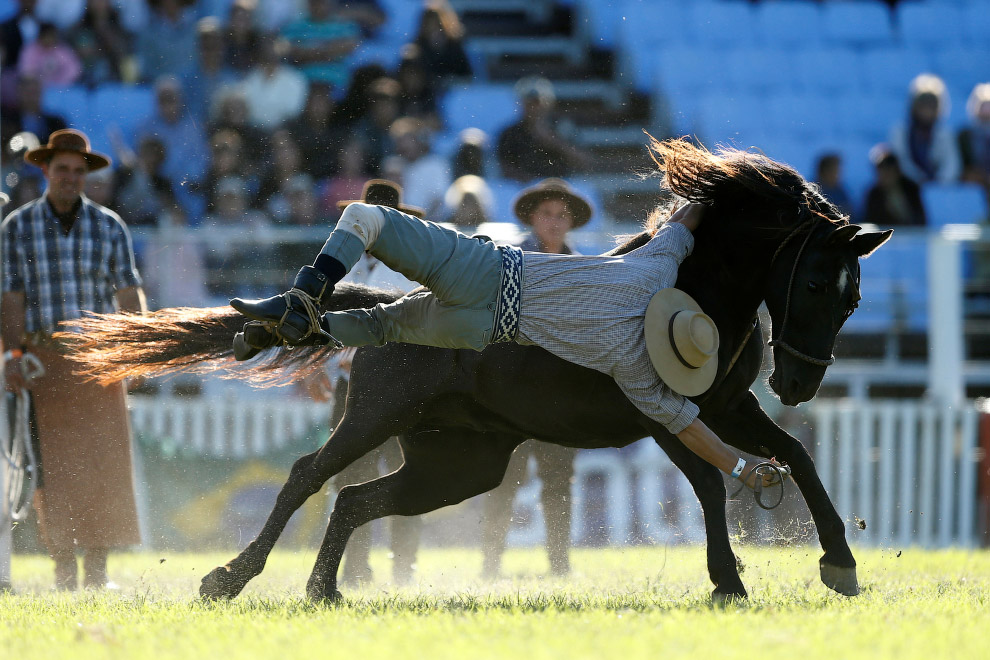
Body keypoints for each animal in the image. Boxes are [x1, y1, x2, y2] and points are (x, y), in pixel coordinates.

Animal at [66, 141, 896, 604]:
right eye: (815, 282)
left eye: (852, 295)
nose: (799, 386)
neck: (691, 289)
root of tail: (391, 304)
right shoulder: (660, 411)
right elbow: (709, 484)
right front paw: (730, 578)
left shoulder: (725, 407)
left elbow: (793, 456)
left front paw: (838, 559)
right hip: (376, 418)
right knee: (310, 475)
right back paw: (231, 575)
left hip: (460, 463)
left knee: (359, 499)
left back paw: (323, 586)